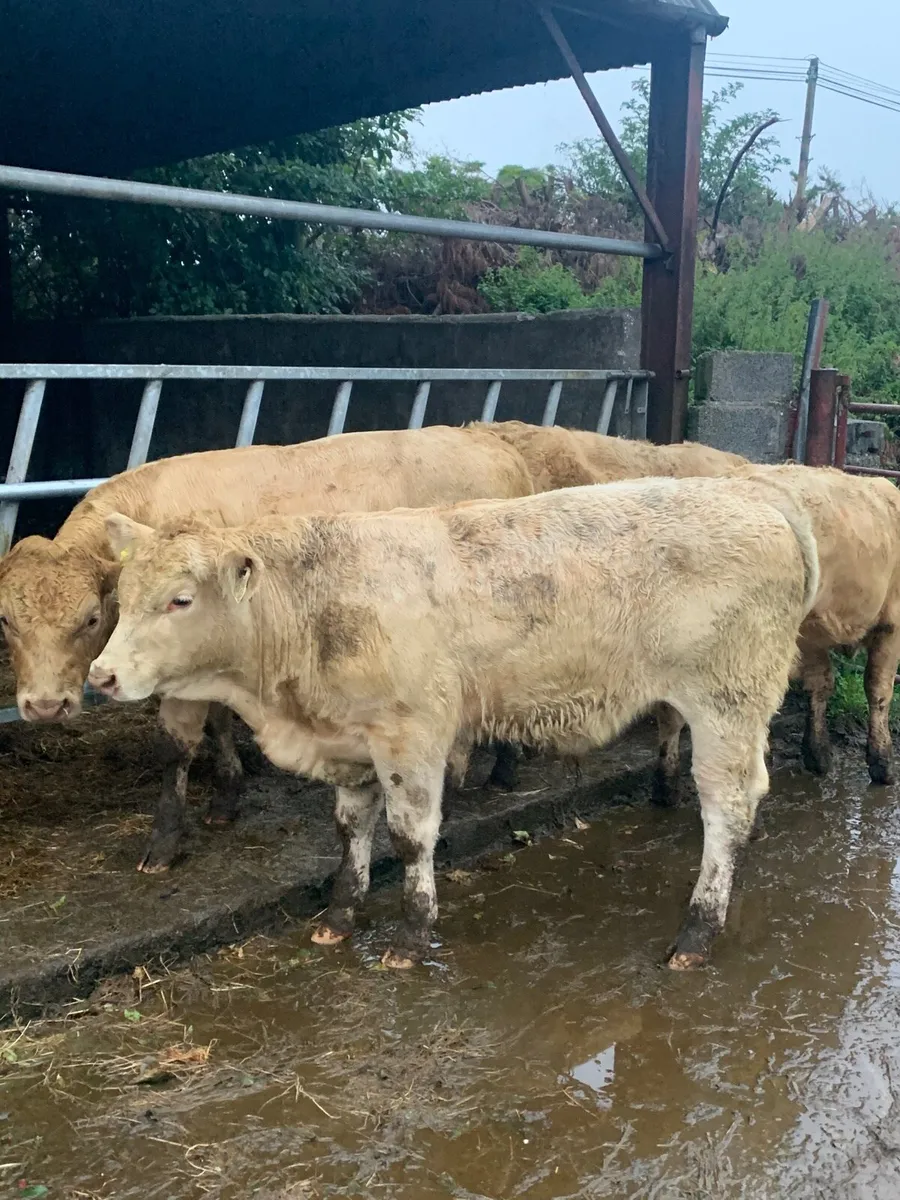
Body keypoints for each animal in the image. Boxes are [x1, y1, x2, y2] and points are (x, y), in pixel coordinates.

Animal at [88, 476, 818, 970]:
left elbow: (410, 837)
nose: (102, 674)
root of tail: (750, 491)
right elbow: (351, 828)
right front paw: (340, 913)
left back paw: (698, 929)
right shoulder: (350, 739)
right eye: (121, 597)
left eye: (181, 600)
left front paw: (412, 935)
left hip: (726, 702)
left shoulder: (411, 734)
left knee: (725, 806)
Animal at [649, 463, 900, 803]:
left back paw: (666, 786)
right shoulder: (892, 622)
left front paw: (818, 754)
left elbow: (821, 683)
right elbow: (877, 689)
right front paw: (882, 763)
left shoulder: (812, 635)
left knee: (670, 709)